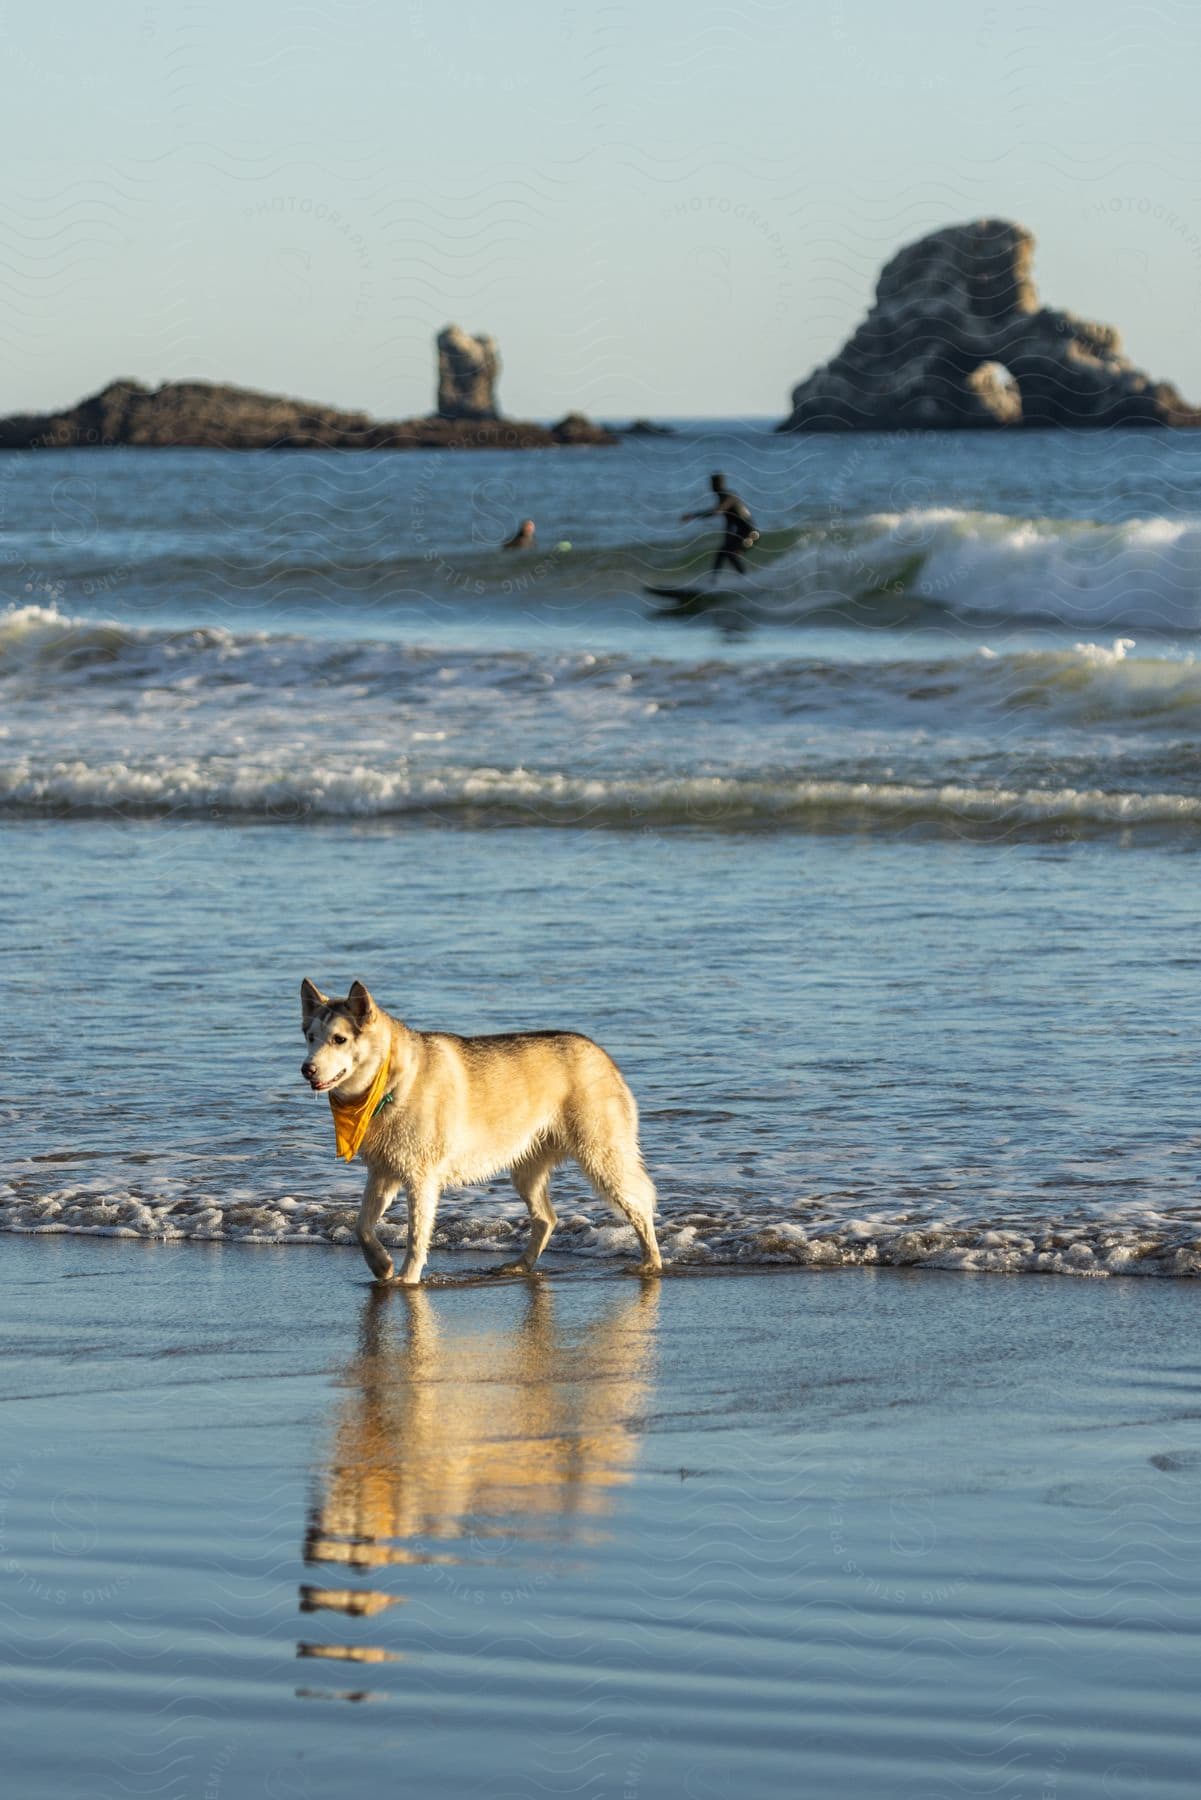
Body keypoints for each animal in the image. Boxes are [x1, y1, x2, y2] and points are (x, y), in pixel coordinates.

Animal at [297, 979, 662, 1288]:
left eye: (339, 1039)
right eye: (310, 1037)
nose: (307, 1069)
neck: (390, 1084)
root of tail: (601, 1053)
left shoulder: (421, 1178)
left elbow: (416, 1235)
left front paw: (408, 1277)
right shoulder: (383, 1172)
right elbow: (361, 1226)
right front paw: (382, 1265)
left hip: (602, 1157)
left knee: (641, 1204)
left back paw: (651, 1261)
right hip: (527, 1170)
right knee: (547, 1218)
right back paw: (520, 1265)